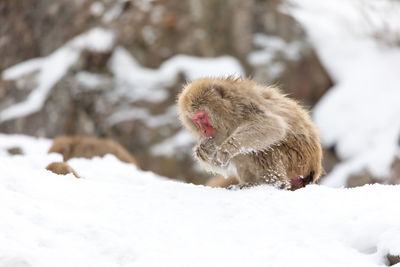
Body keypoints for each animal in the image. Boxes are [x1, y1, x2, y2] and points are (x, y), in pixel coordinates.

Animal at [178, 77, 322, 191]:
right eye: (195, 120)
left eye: (202, 117)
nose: (203, 131)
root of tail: (314, 169)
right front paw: (203, 151)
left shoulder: (243, 105)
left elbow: (272, 125)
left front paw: (226, 149)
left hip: (298, 161)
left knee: (264, 149)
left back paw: (275, 184)